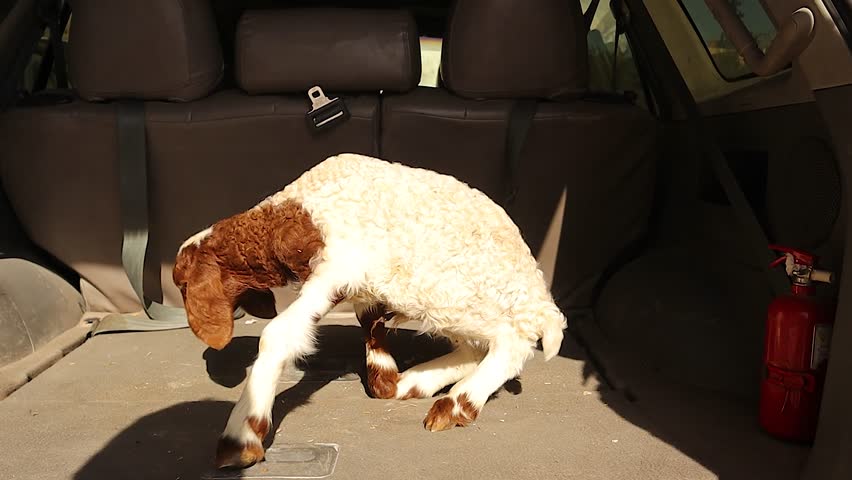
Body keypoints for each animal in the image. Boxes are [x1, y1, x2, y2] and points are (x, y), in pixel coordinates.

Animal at [173, 153, 567, 469]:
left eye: (182, 284)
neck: (295, 216)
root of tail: (541, 299)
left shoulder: (337, 265)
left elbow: (278, 335)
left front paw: (242, 435)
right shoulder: (361, 283)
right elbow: (370, 323)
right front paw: (386, 380)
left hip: (448, 291)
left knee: (512, 340)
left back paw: (457, 404)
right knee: (476, 347)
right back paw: (417, 382)